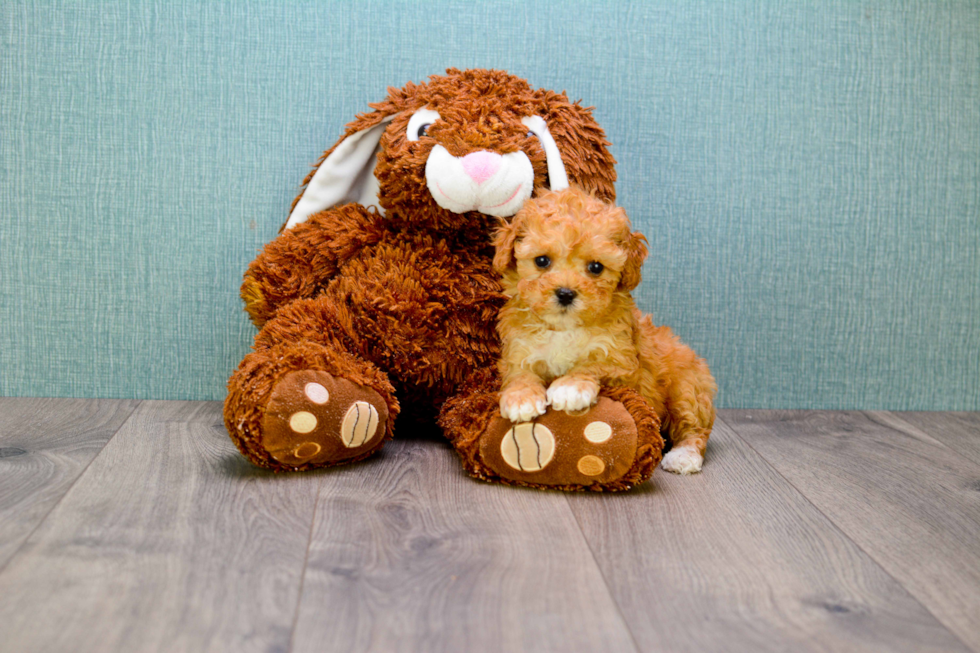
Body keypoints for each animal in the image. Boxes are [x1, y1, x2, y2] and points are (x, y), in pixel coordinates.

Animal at [494, 186, 716, 472]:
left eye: (596, 267)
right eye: (541, 261)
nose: (565, 293)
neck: (564, 328)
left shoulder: (624, 363)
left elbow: (594, 364)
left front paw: (570, 387)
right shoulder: (518, 351)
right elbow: (519, 374)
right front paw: (521, 398)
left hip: (687, 388)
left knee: (694, 427)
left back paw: (684, 455)